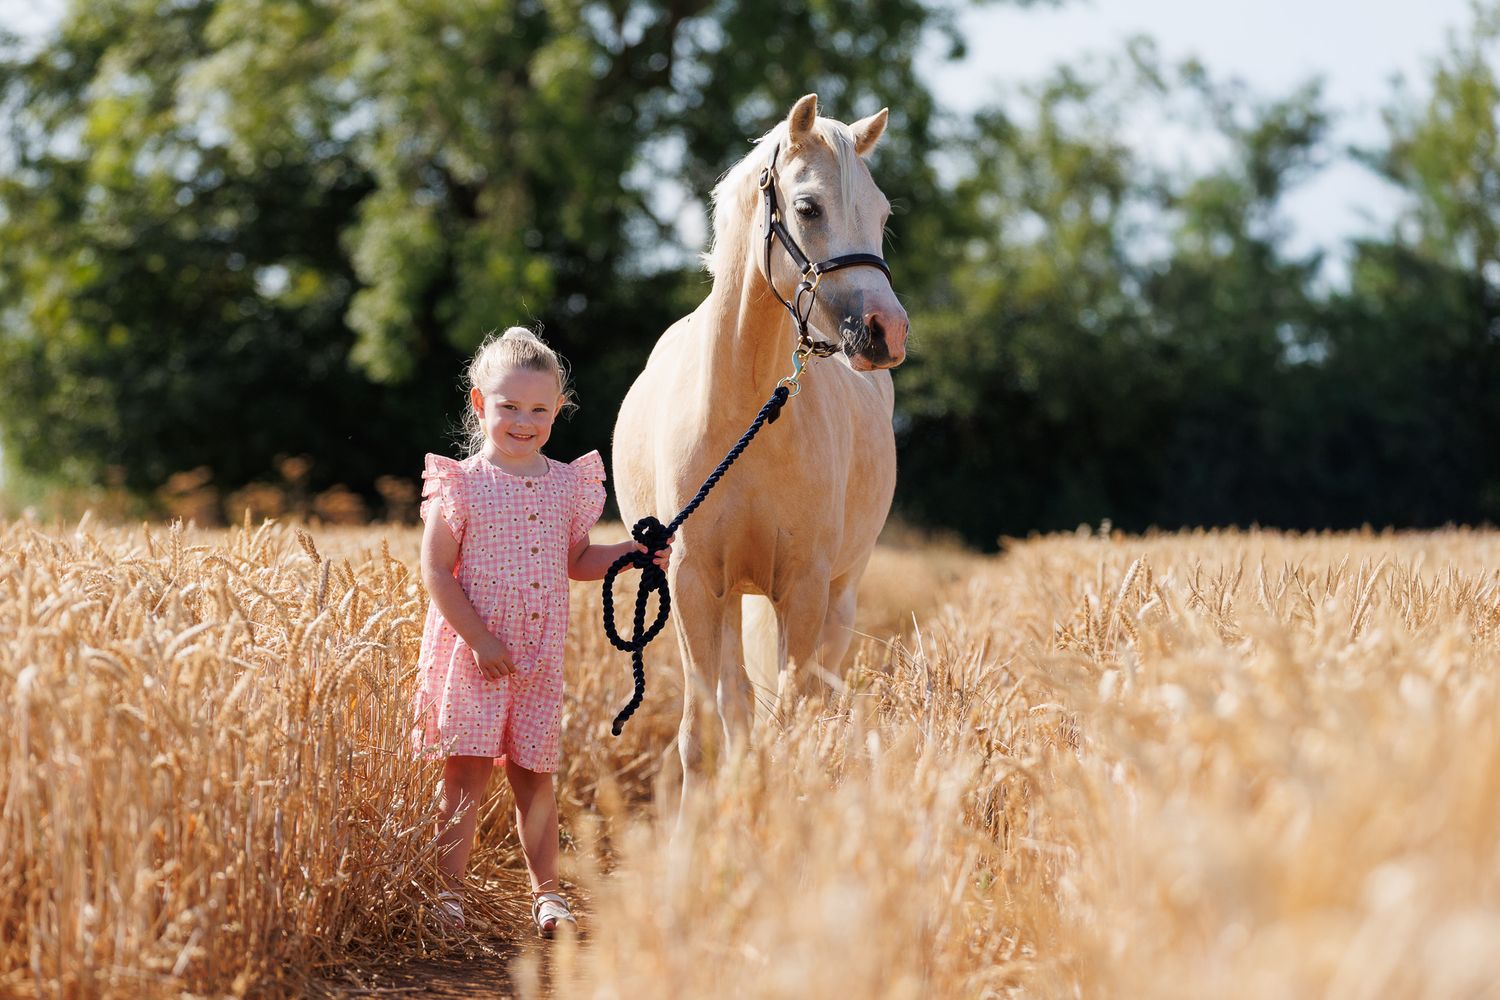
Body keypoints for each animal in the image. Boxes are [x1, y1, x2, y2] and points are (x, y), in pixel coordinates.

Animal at [612, 93, 908, 804]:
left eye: (882, 212)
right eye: (808, 207)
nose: (887, 331)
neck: (745, 407)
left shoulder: (802, 588)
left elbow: (792, 729)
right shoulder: (692, 582)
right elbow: (703, 732)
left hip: (839, 595)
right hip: (729, 599)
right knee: (736, 707)